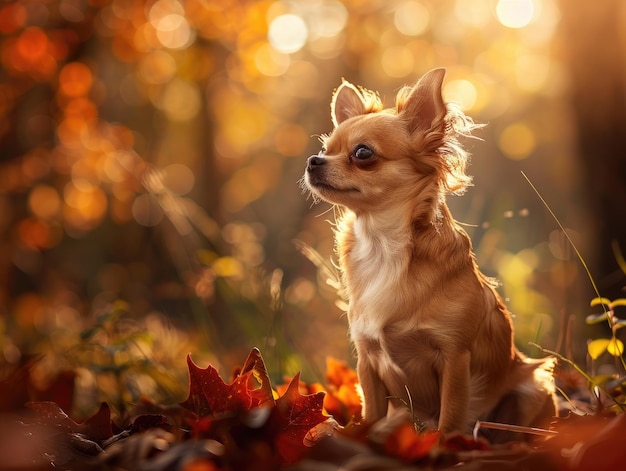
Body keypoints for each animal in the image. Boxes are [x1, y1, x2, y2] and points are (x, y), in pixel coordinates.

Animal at [304, 68, 552, 440]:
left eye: (362, 153)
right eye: (325, 148)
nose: (312, 161)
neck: (382, 245)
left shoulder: (454, 358)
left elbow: (450, 416)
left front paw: (443, 446)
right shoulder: (367, 359)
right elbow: (372, 412)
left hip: (533, 387)